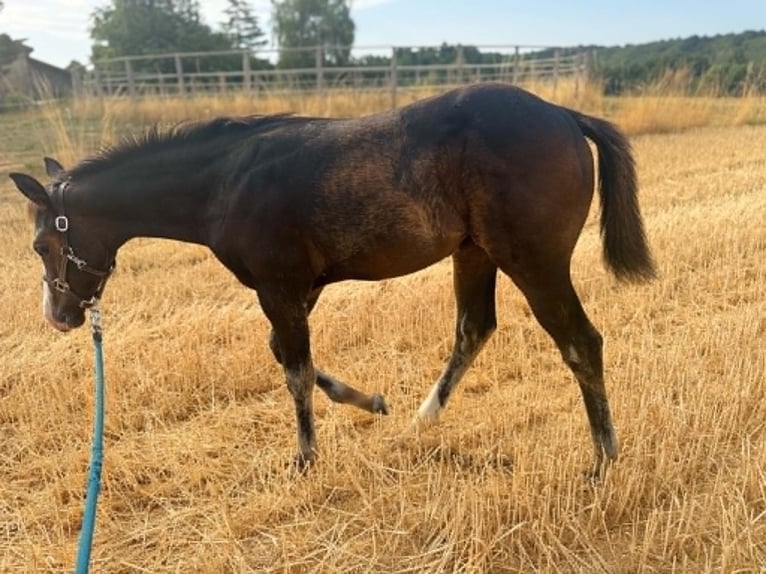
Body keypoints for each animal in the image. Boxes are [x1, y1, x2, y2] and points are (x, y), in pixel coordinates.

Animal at [10, 82, 655, 476]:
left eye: (42, 244)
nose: (59, 317)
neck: (225, 182)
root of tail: (565, 116)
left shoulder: (277, 285)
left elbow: (294, 369)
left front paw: (304, 458)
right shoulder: (301, 286)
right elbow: (286, 353)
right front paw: (370, 401)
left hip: (533, 260)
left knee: (580, 341)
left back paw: (603, 460)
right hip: (475, 253)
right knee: (474, 327)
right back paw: (422, 418)